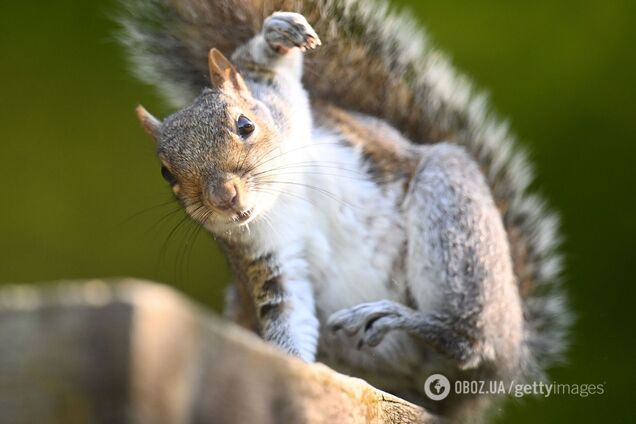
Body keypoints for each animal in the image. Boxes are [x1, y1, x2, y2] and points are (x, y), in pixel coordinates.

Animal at [120, 0, 572, 420]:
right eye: (166, 173)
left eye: (245, 124)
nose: (224, 196)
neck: (281, 197)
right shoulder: (267, 256)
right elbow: (287, 313)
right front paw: (296, 371)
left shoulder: (285, 107)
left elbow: (270, 73)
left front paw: (276, 35)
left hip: (455, 216)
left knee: (471, 342)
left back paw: (410, 321)